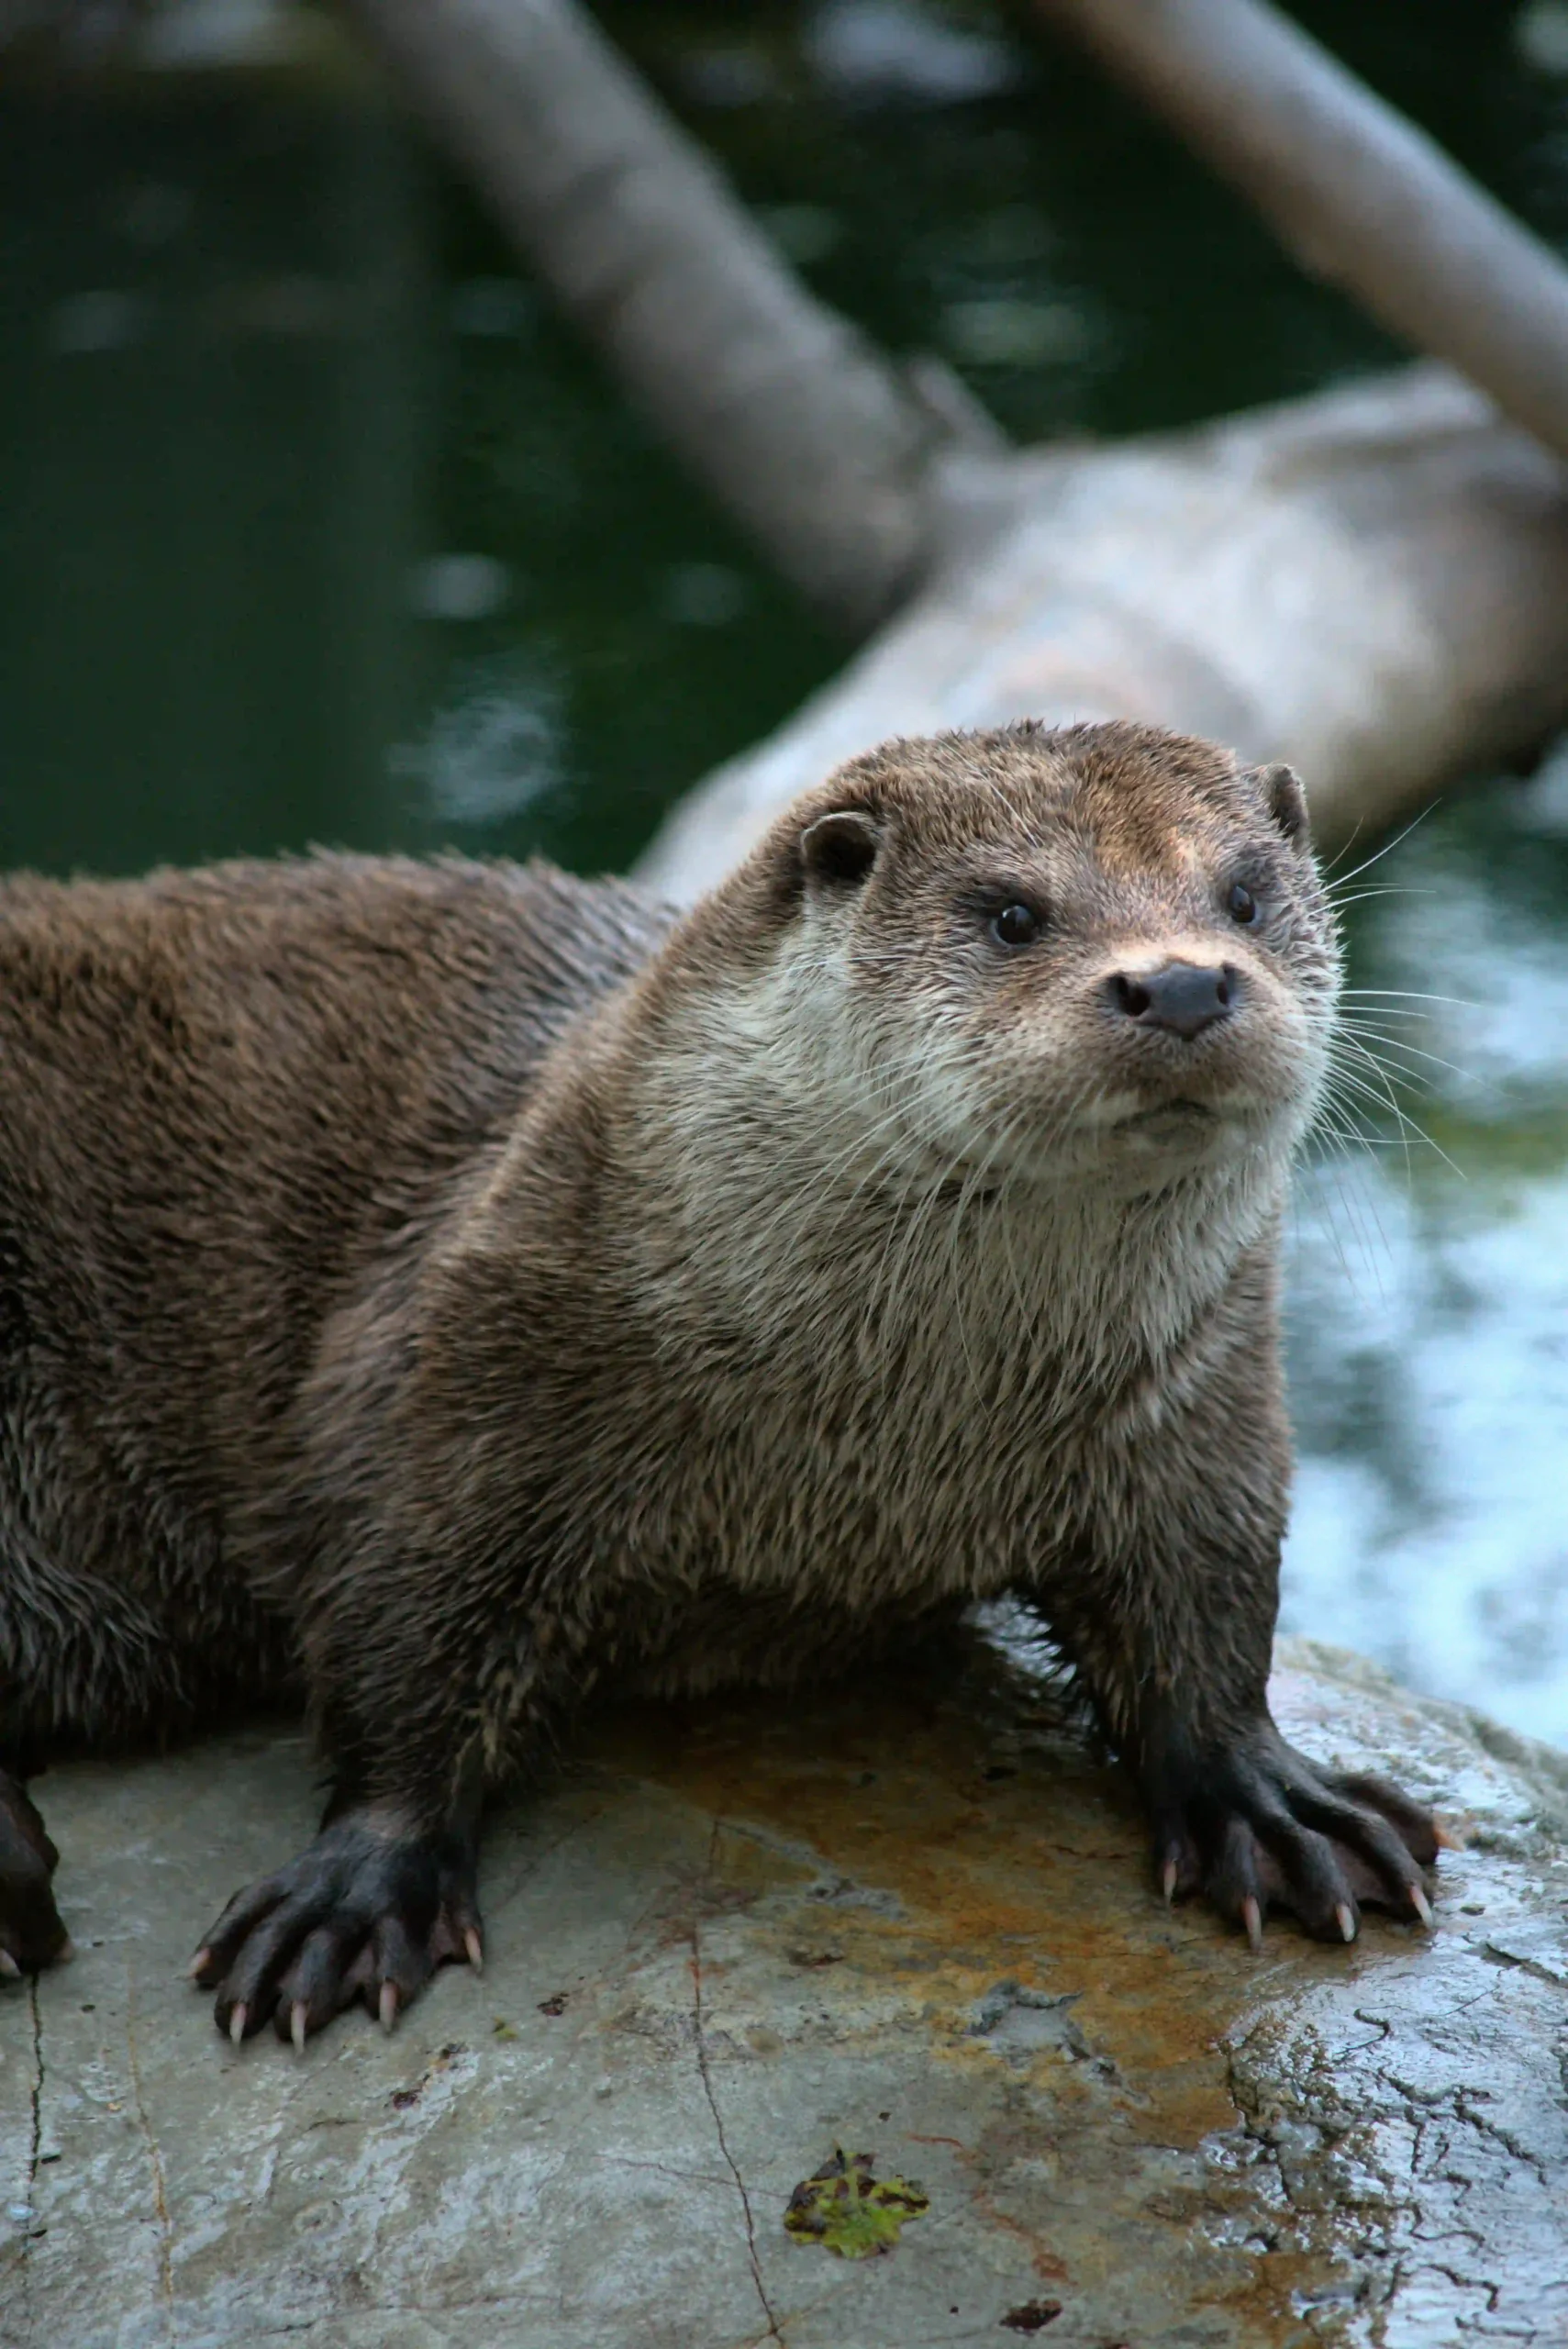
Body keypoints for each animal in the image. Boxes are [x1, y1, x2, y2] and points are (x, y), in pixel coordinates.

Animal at [0, 723, 1436, 2048]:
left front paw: (1271, 1801)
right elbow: (397, 1620)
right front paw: (362, 1880)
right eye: (1011, 914)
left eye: (1243, 896)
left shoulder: (1200, 1401)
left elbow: (1209, 1603)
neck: (879, 1446)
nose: (1182, 983)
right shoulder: (463, 1361)